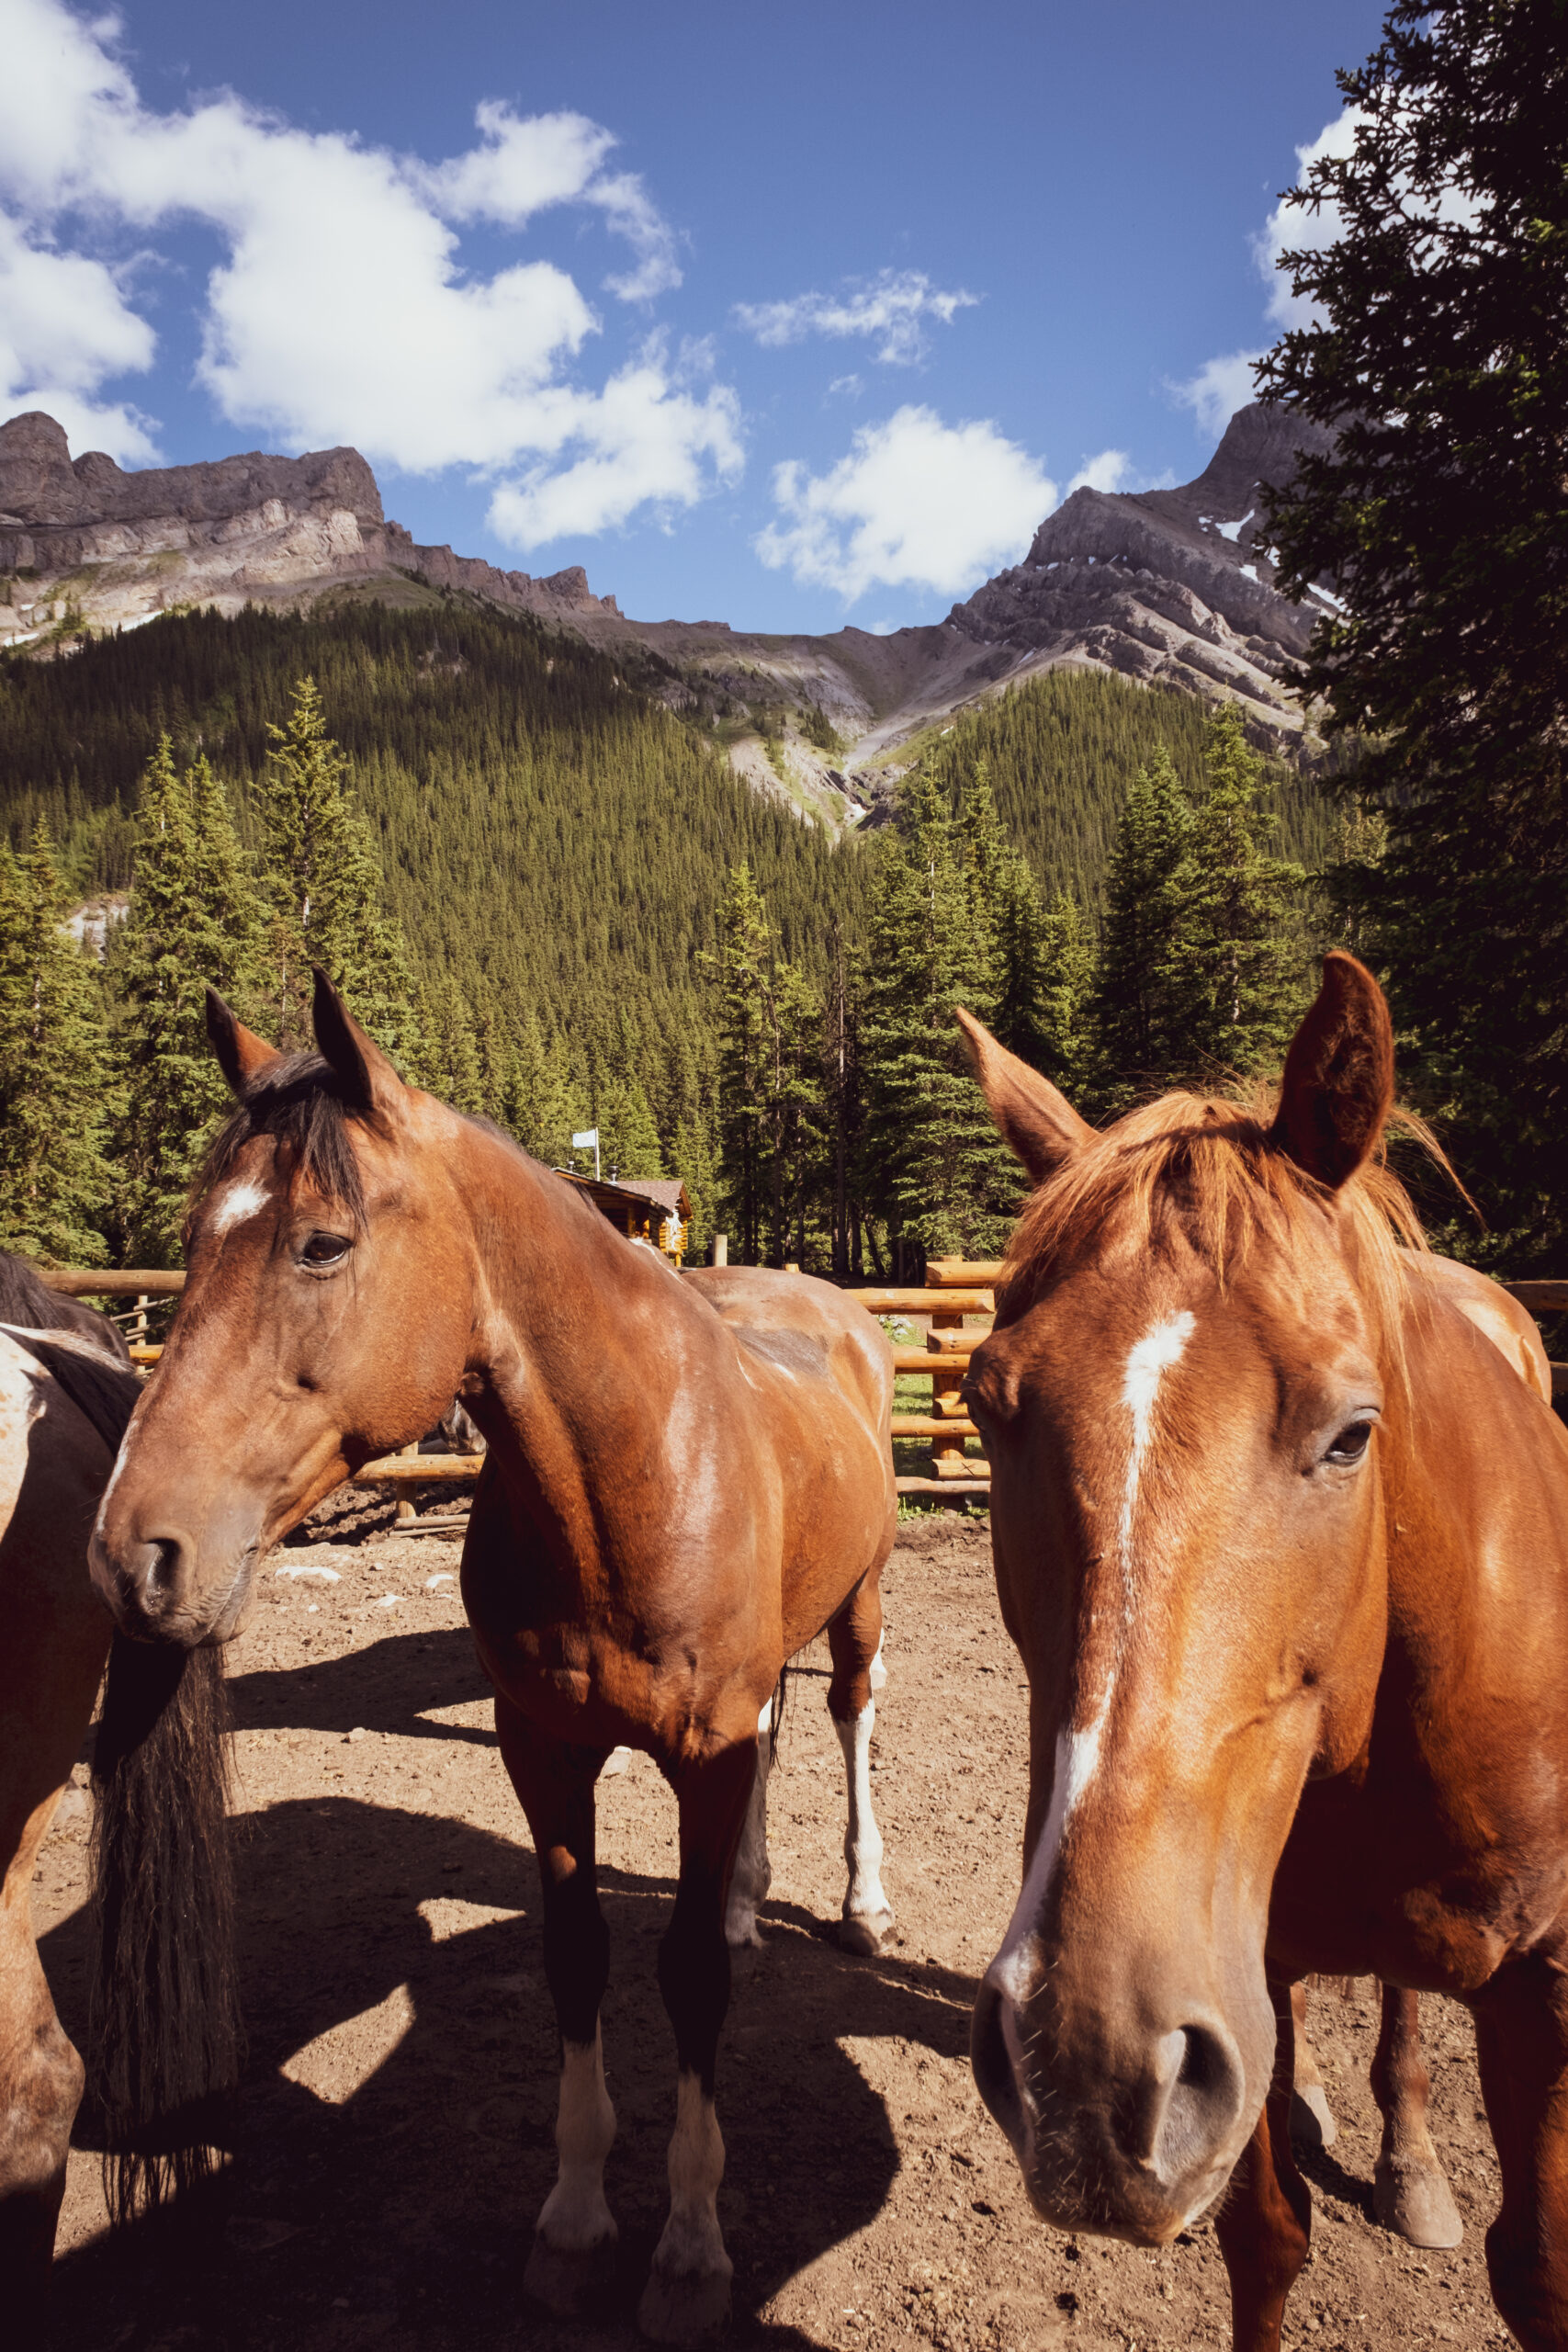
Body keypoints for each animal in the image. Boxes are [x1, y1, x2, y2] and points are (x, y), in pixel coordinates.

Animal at [92, 968, 902, 2333]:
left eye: (321, 1241)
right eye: (194, 1242)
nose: (132, 1555)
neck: (629, 1475)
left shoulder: (700, 1747)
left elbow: (687, 1977)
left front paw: (689, 2244)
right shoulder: (544, 1749)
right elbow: (575, 1959)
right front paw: (574, 2219)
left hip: (859, 1602)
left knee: (846, 1716)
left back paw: (857, 1901)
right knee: (784, 1733)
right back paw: (747, 1894)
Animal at [959, 955, 1568, 2352]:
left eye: (1352, 1434)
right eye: (985, 1403)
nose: (1082, 2066)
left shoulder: (1550, 1990)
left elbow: (1540, 2271)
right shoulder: (1250, 1969)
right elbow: (1265, 2237)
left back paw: (1409, 2161)